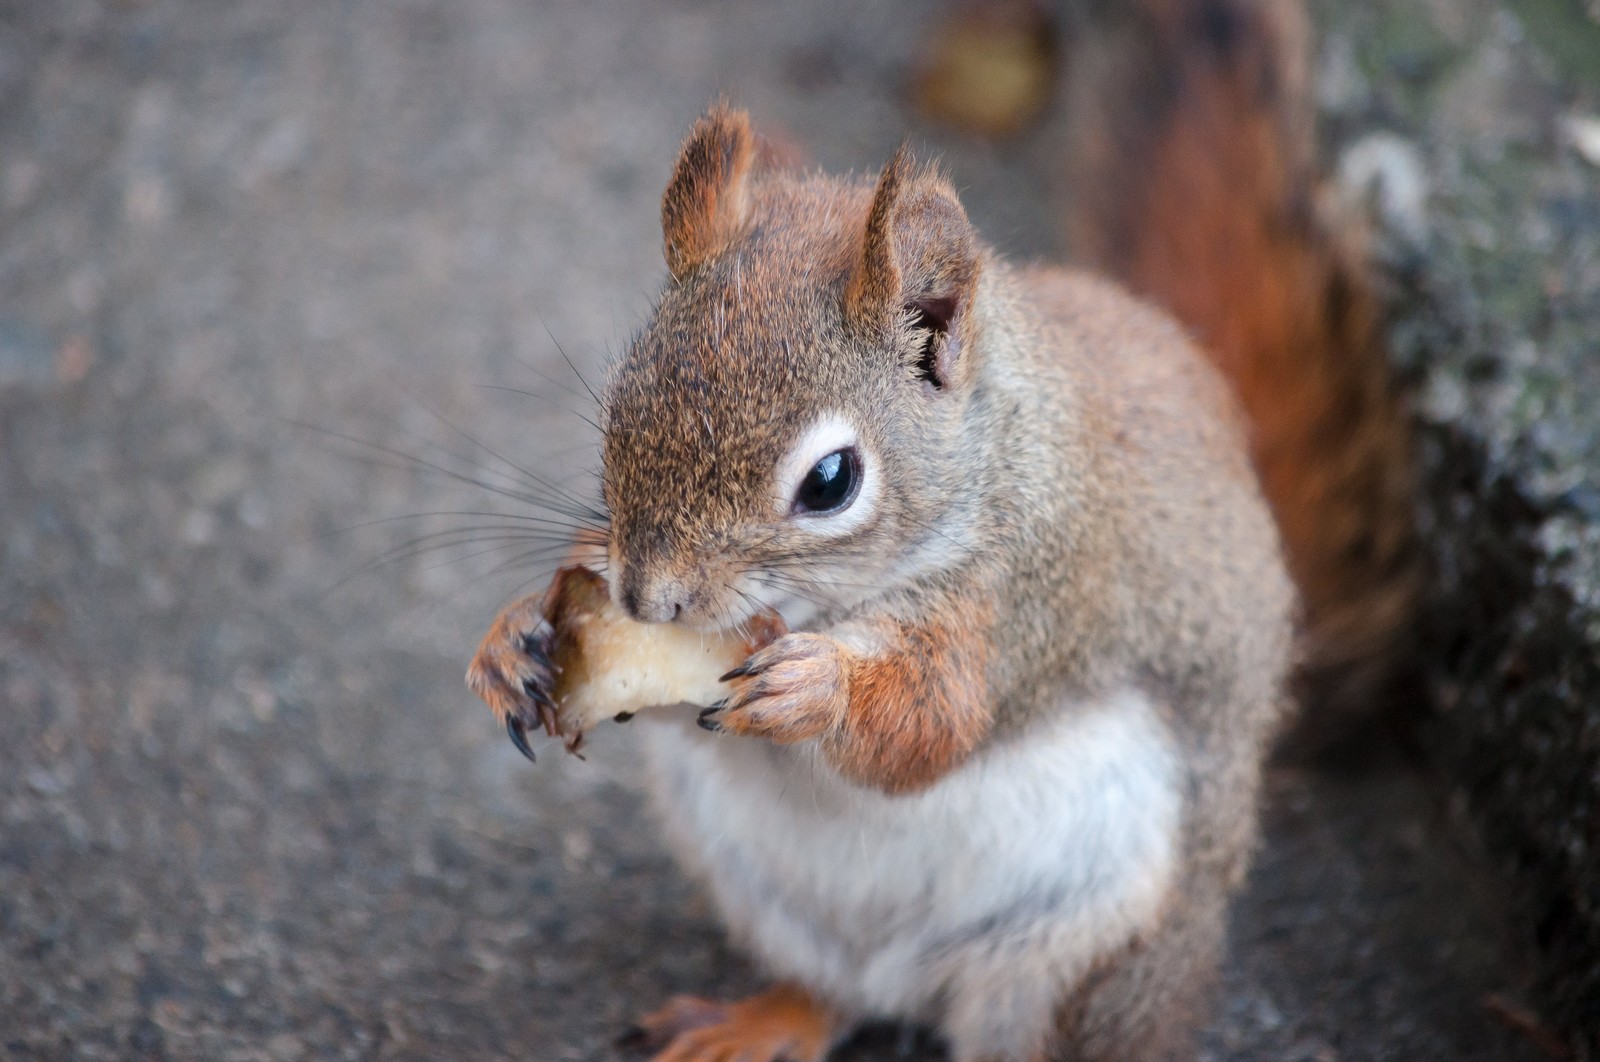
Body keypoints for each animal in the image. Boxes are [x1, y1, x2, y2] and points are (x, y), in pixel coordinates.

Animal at [464, 2, 1414, 1062]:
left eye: (831, 481)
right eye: (621, 404)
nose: (645, 599)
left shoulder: (1025, 596)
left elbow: (937, 721)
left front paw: (820, 688)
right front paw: (510, 640)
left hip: (1089, 943)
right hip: (763, 891)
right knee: (831, 992)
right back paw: (759, 1021)